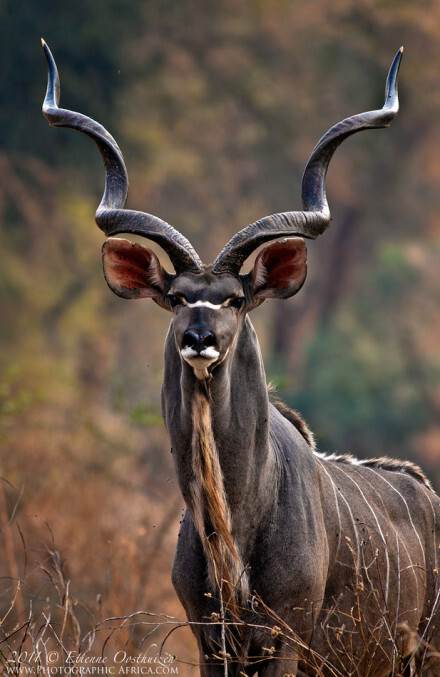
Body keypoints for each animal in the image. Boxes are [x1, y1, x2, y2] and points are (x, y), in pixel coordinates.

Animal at [43, 43, 440, 676]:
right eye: (178, 297)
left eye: (233, 298)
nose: (199, 338)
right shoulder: (211, 642)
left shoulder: (286, 640)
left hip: (419, 655)